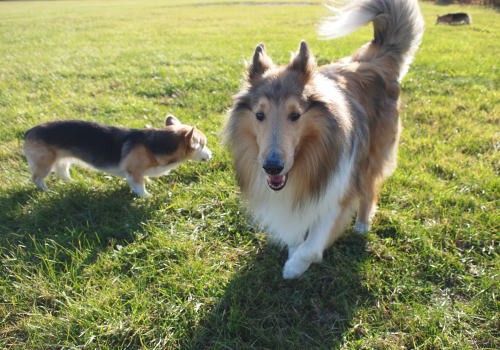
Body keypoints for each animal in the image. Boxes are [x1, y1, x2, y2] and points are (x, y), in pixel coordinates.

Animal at [24, 115, 212, 196]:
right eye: (203, 144)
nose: (211, 154)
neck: (155, 145)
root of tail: (28, 132)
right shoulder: (134, 172)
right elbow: (140, 186)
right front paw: (146, 196)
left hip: (63, 159)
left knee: (62, 171)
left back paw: (71, 182)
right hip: (44, 163)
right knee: (37, 178)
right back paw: (47, 190)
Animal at [225, 0, 424, 278]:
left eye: (295, 115)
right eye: (259, 115)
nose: (272, 167)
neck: (306, 162)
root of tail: (374, 61)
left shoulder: (338, 189)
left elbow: (312, 246)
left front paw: (294, 267)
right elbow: (296, 235)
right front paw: (293, 251)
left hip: (371, 155)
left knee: (370, 188)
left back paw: (362, 225)